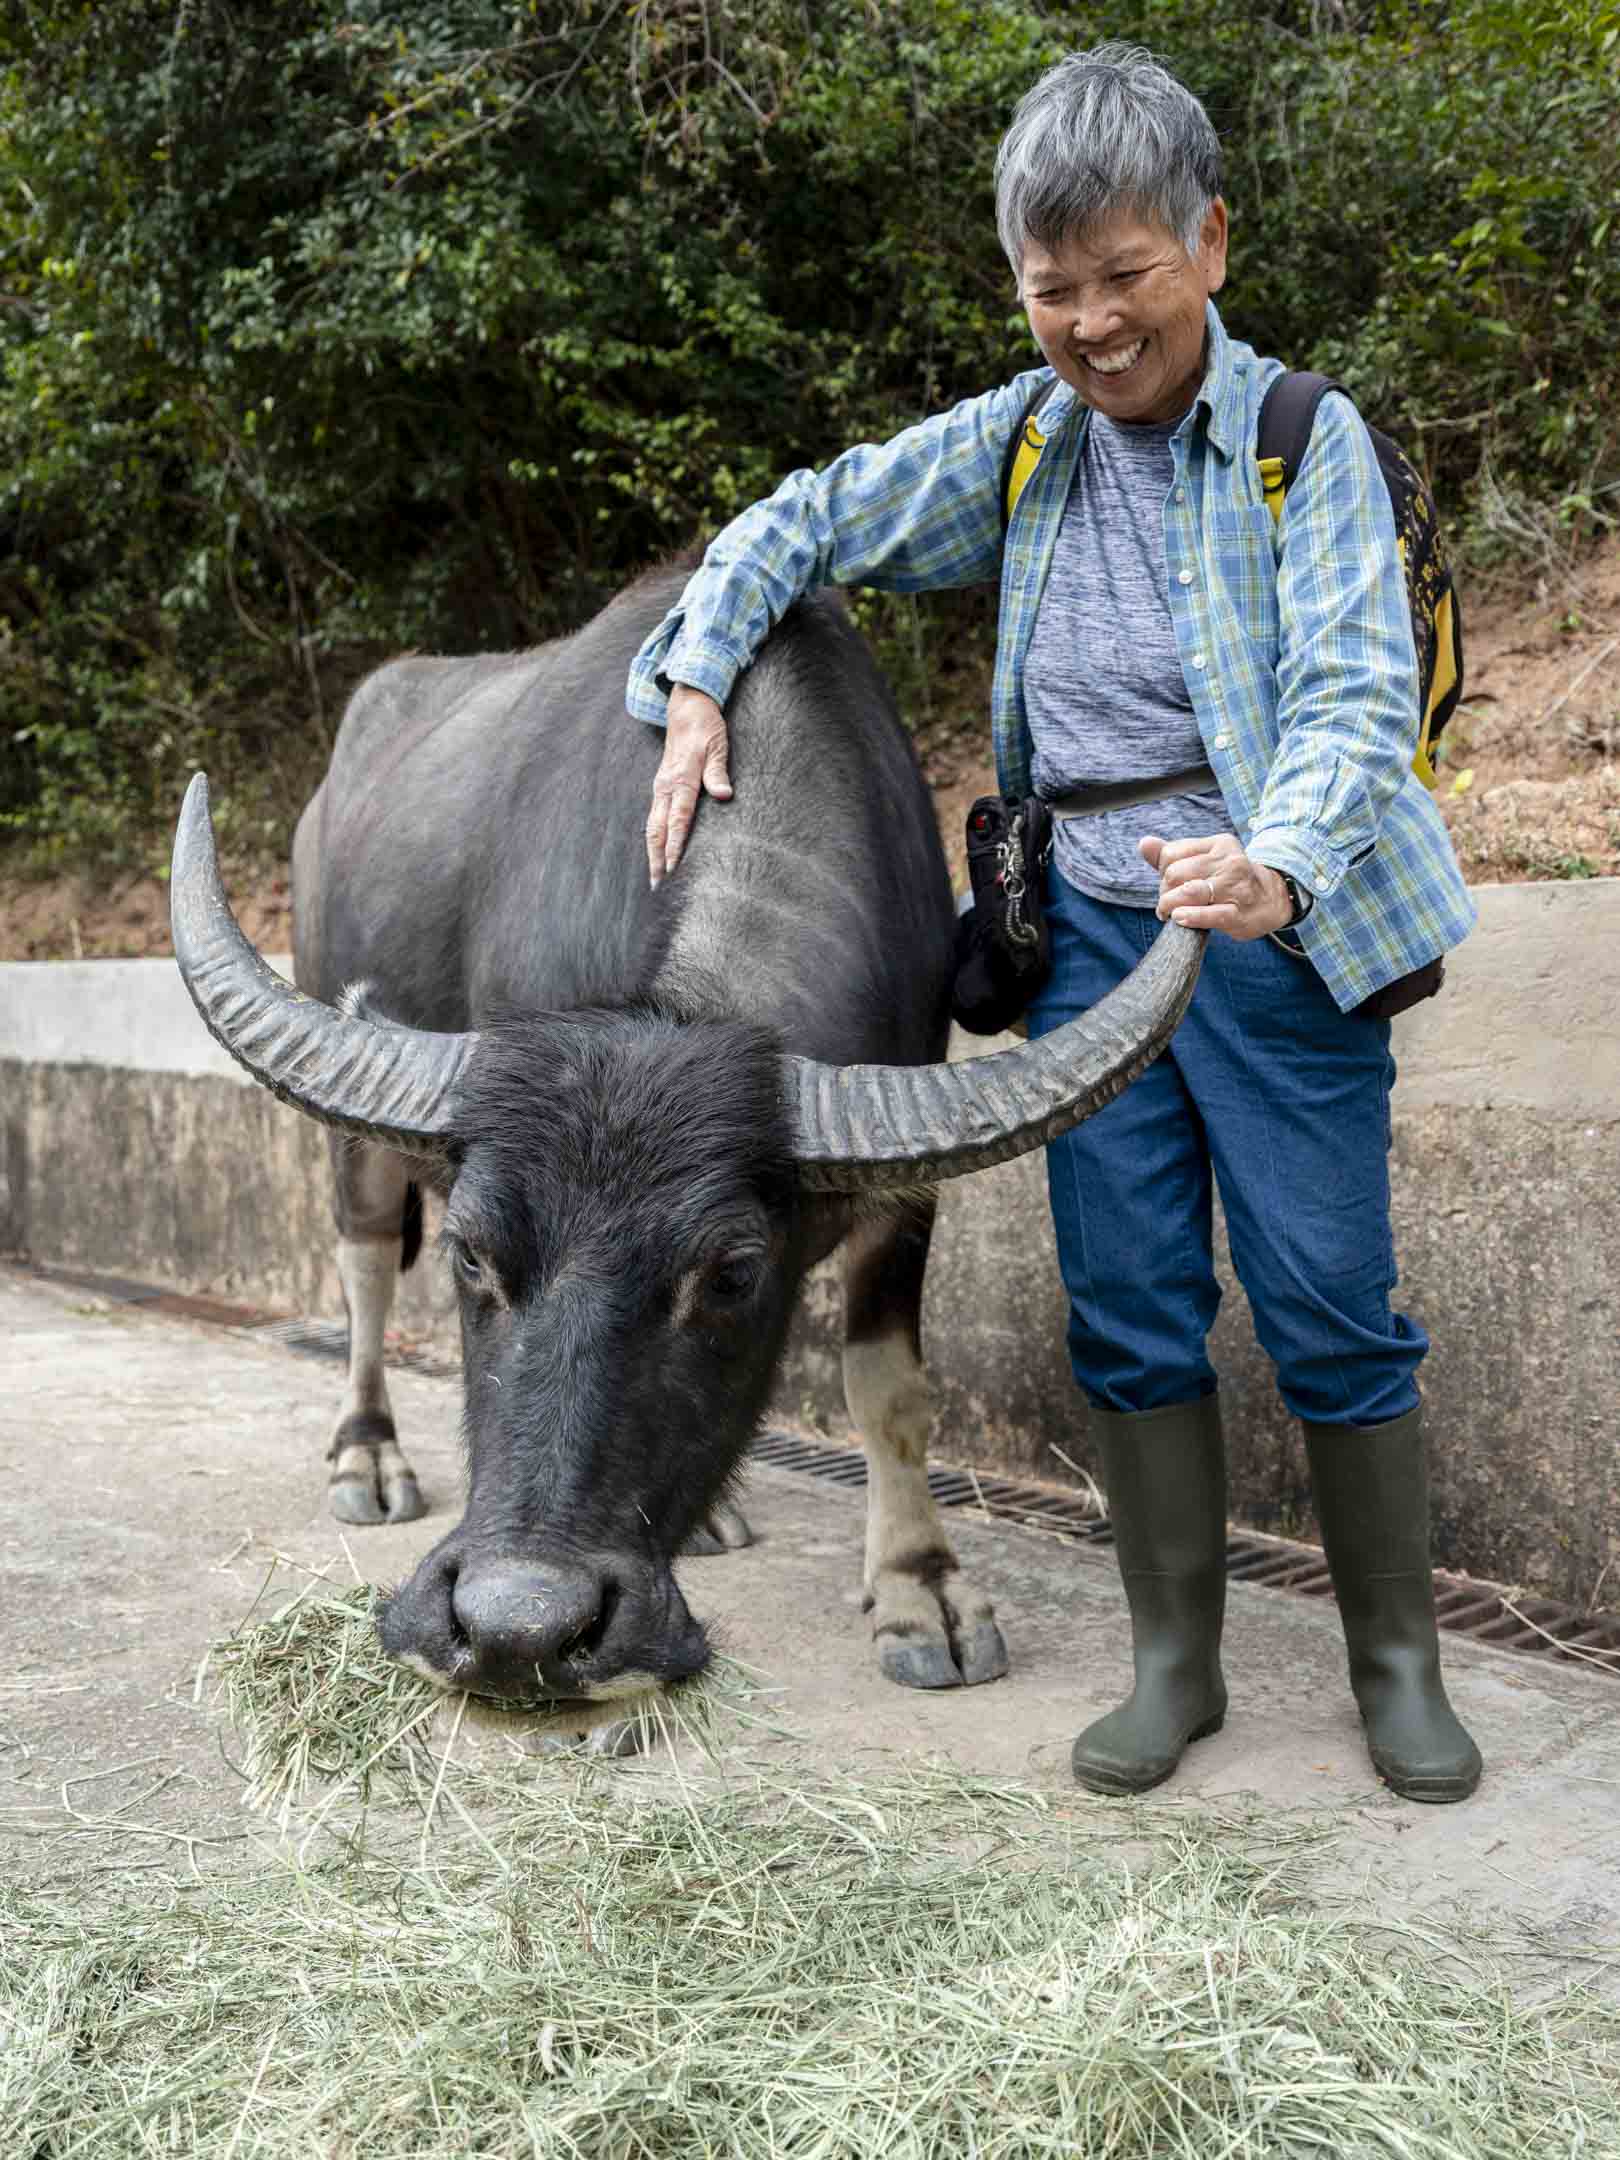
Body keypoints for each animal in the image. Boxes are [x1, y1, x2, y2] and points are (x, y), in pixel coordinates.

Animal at [171, 570, 1200, 1719]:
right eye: (471, 1255)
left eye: (733, 1274)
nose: (517, 1628)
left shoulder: (905, 1192)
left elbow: (889, 1382)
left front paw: (919, 1590)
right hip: (350, 1108)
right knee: (358, 1266)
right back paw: (367, 1459)